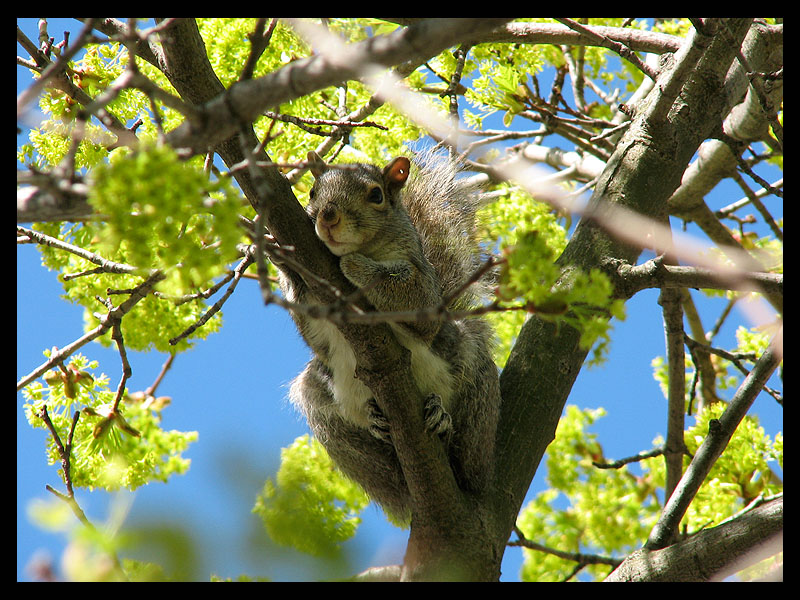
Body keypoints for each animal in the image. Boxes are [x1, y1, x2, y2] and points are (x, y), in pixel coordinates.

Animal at [278, 149, 496, 520]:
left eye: (376, 195)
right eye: (312, 192)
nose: (328, 216)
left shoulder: (423, 288)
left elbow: (409, 296)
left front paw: (356, 266)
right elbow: (310, 326)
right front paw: (282, 259)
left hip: (472, 372)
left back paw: (442, 420)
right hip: (323, 405)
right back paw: (374, 420)